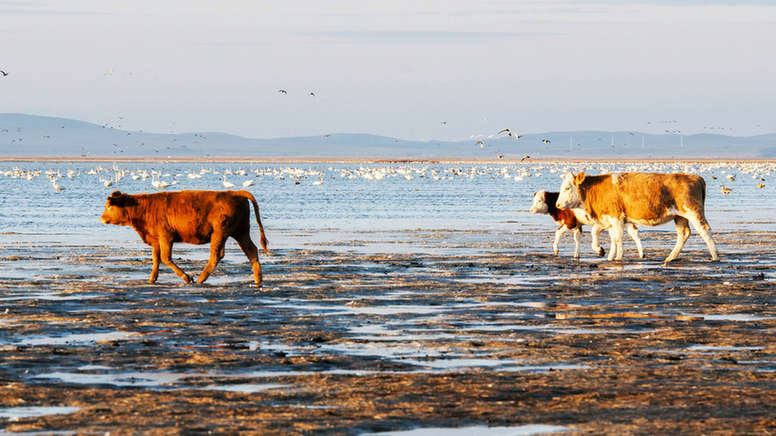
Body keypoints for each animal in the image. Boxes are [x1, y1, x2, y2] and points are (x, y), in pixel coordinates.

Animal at [100, 189, 270, 284]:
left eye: (109, 206)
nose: (101, 218)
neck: (144, 207)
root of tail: (234, 192)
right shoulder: (156, 239)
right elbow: (156, 259)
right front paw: (151, 279)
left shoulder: (166, 237)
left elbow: (165, 258)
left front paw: (186, 277)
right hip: (241, 232)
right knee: (251, 251)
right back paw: (258, 279)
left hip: (220, 232)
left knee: (216, 255)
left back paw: (200, 279)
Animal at [556, 173, 720, 262]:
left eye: (568, 188)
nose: (557, 204)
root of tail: (695, 177)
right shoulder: (609, 219)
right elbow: (610, 237)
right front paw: (607, 254)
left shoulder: (616, 217)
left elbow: (617, 238)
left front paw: (618, 256)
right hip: (679, 216)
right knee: (684, 234)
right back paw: (670, 258)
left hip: (693, 212)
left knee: (705, 231)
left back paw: (715, 257)